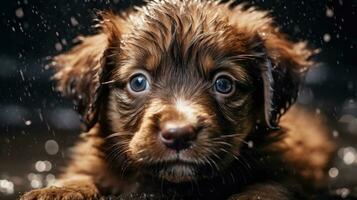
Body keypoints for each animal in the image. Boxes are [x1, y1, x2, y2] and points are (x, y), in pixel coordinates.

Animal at [21, 0, 334, 199]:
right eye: (138, 82)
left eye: (223, 84)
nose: (179, 134)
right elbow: (82, 175)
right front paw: (57, 191)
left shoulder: (288, 170)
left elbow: (268, 188)